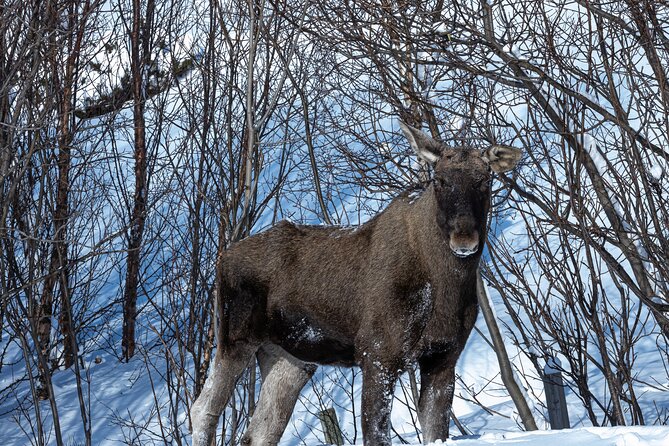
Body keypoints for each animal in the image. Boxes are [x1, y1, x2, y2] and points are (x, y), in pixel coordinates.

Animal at [190, 122, 520, 446]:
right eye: (439, 180)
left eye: (484, 179)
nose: (464, 239)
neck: (447, 286)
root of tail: (223, 257)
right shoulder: (377, 355)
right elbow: (376, 434)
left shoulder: (443, 358)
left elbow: (435, 432)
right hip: (235, 338)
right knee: (203, 410)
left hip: (290, 358)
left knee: (261, 429)